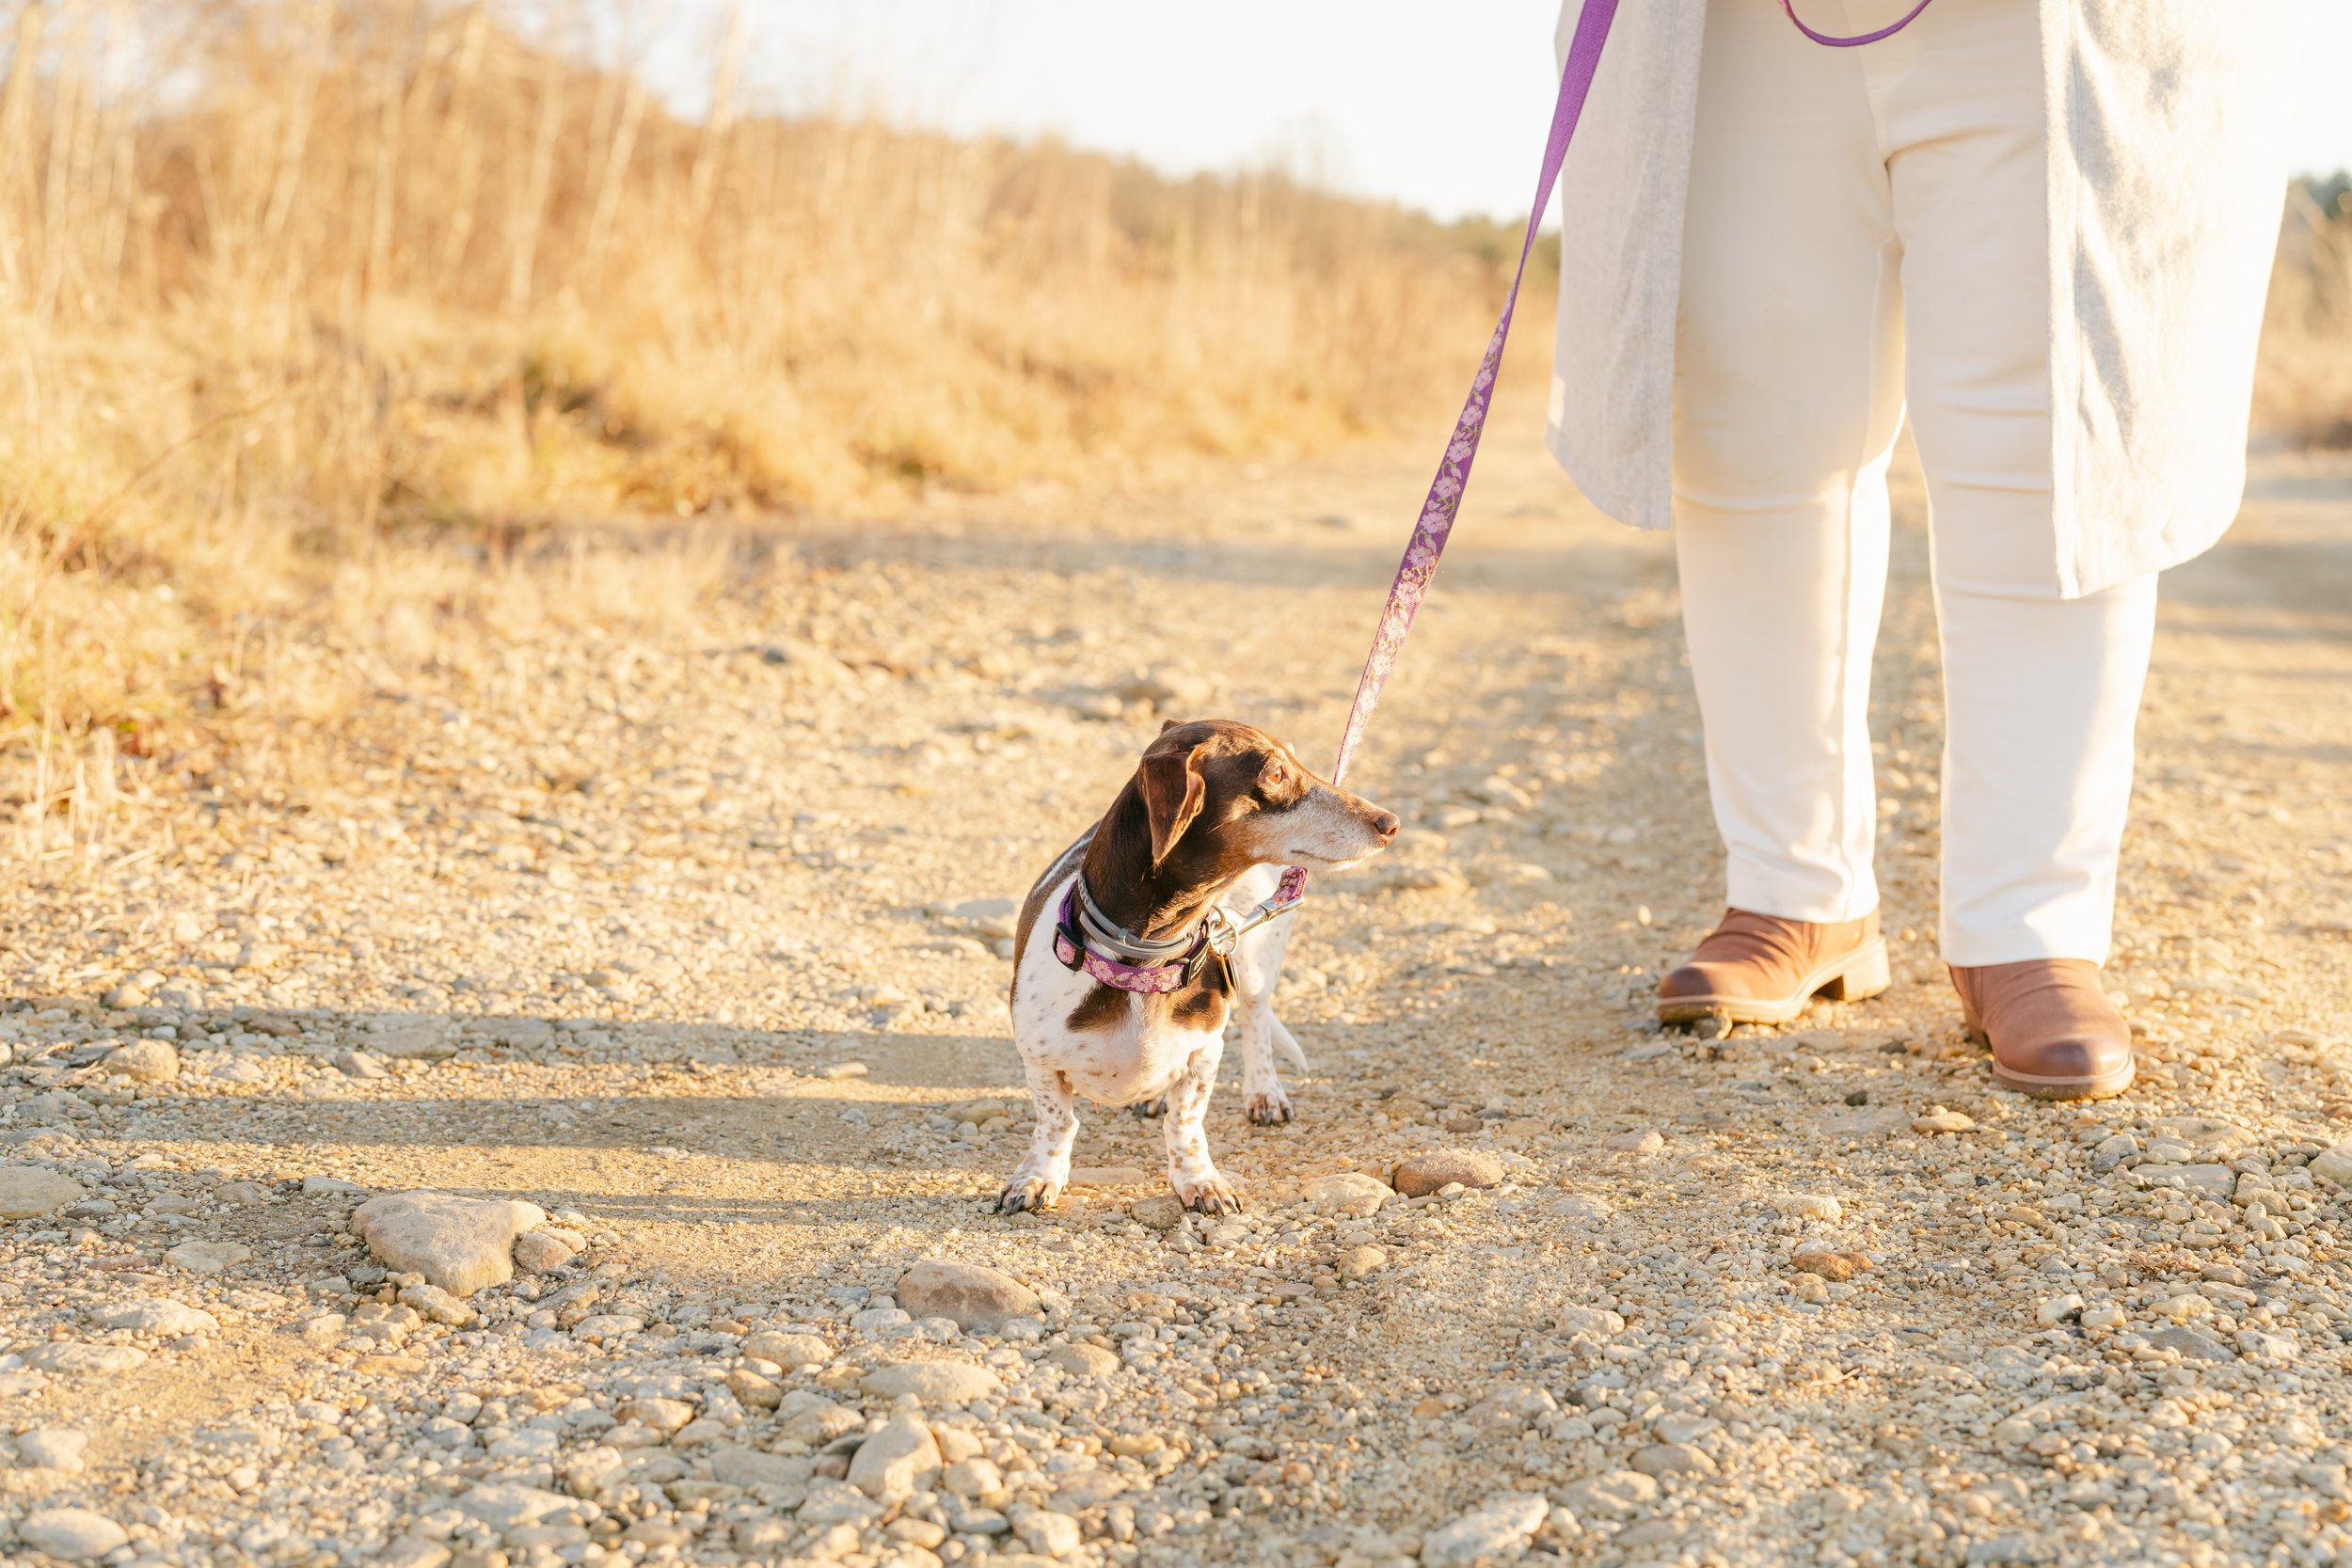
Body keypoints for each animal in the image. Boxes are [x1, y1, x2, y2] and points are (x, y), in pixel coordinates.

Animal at [997, 719, 1392, 1222]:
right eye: (1276, 774)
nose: (1391, 824)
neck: (1142, 962)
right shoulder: (1039, 1060)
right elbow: (1057, 1122)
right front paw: (1037, 1177)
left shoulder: (1205, 1053)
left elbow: (1184, 1123)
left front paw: (1199, 1181)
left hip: (1255, 967)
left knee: (1257, 1022)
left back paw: (1264, 1092)